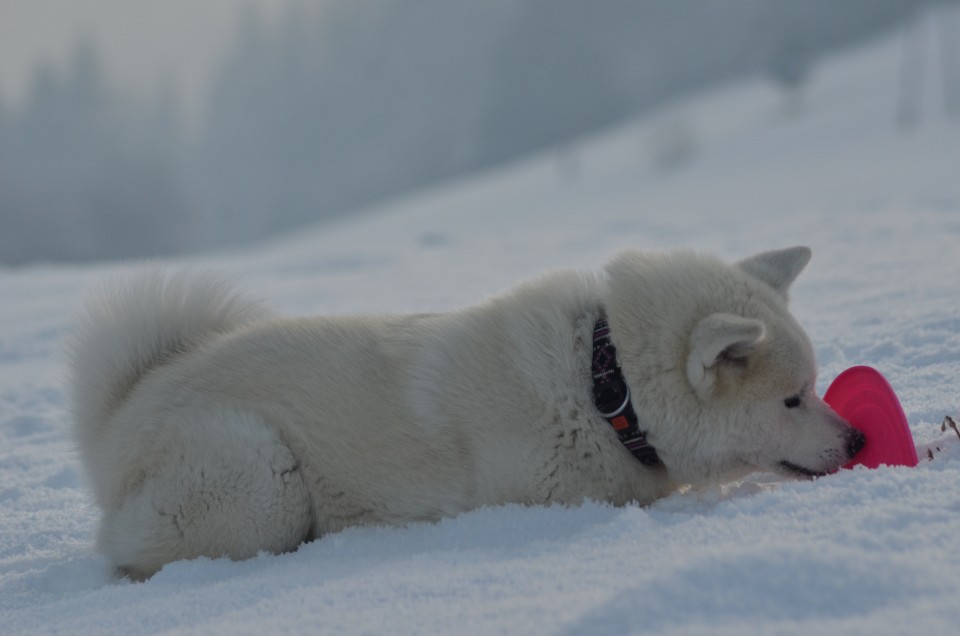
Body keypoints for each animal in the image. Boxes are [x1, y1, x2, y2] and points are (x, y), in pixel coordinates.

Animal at [67, 246, 864, 580]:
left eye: (816, 386)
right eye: (791, 399)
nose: (858, 437)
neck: (604, 388)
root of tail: (123, 409)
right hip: (264, 479)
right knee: (133, 549)